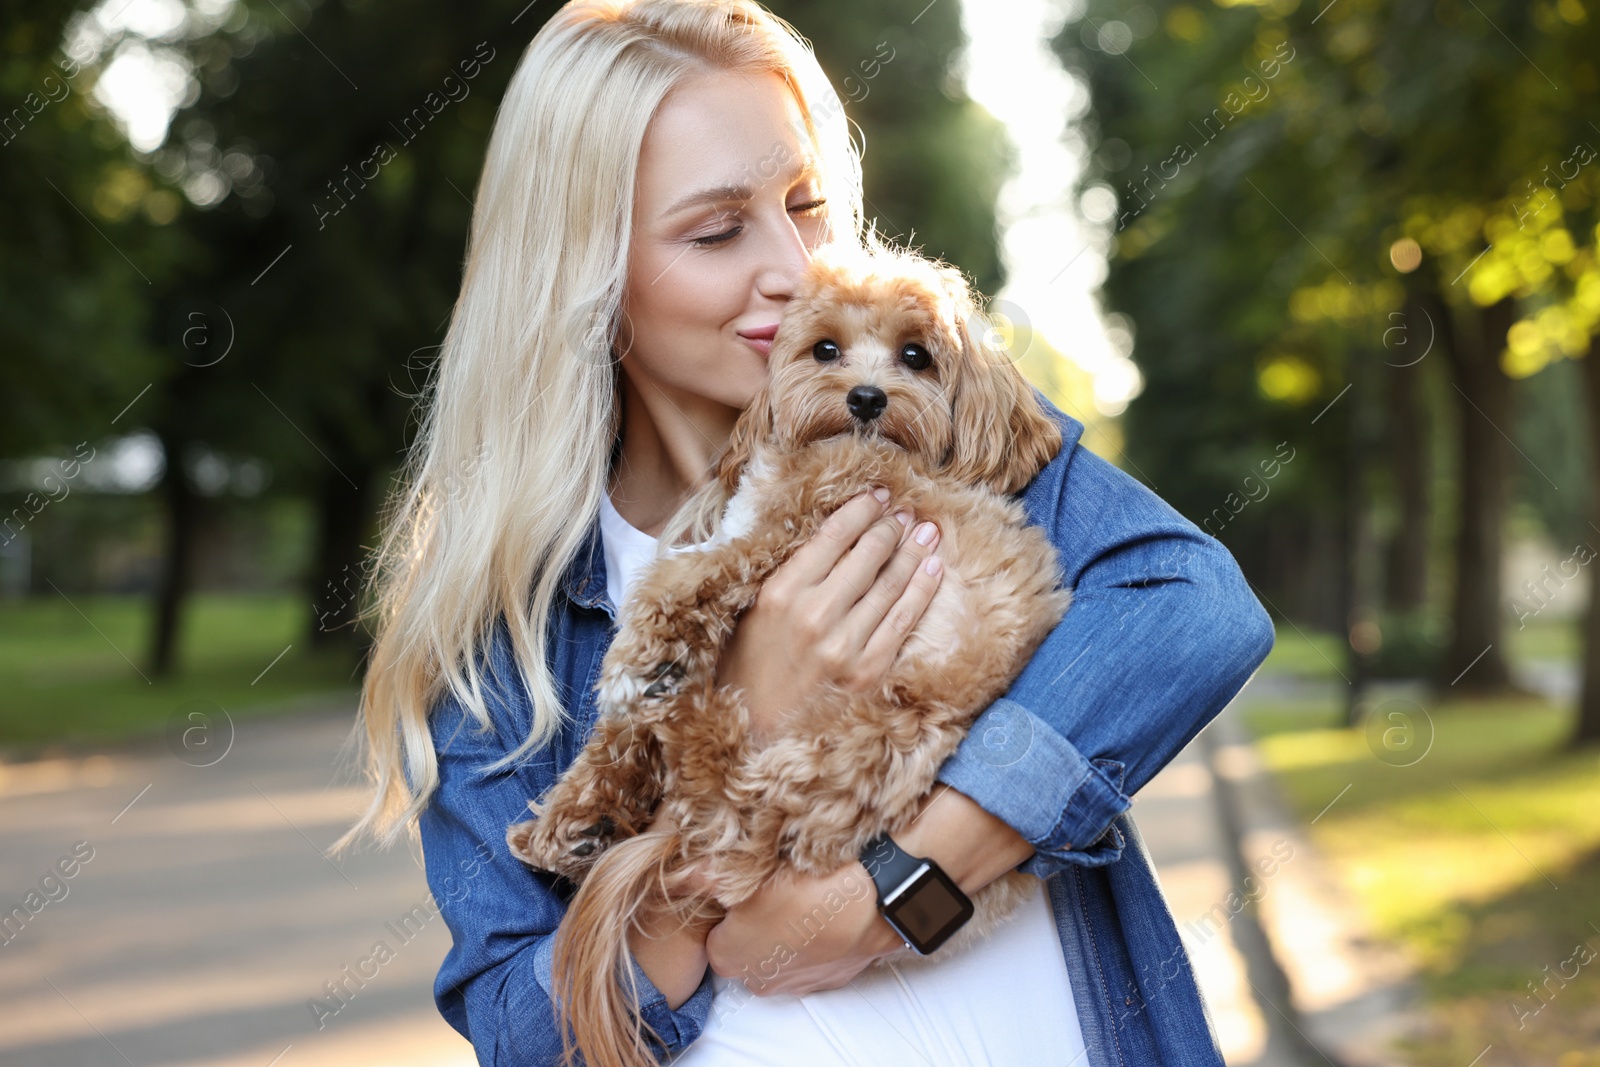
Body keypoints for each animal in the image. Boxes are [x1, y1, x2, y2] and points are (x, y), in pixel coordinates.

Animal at [505, 241, 1068, 1067]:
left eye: (917, 356)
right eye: (824, 348)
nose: (866, 397)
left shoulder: (817, 509)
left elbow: (696, 572)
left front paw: (647, 645)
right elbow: (623, 717)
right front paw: (580, 799)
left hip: (851, 739)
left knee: (712, 779)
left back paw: (684, 731)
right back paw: (589, 816)